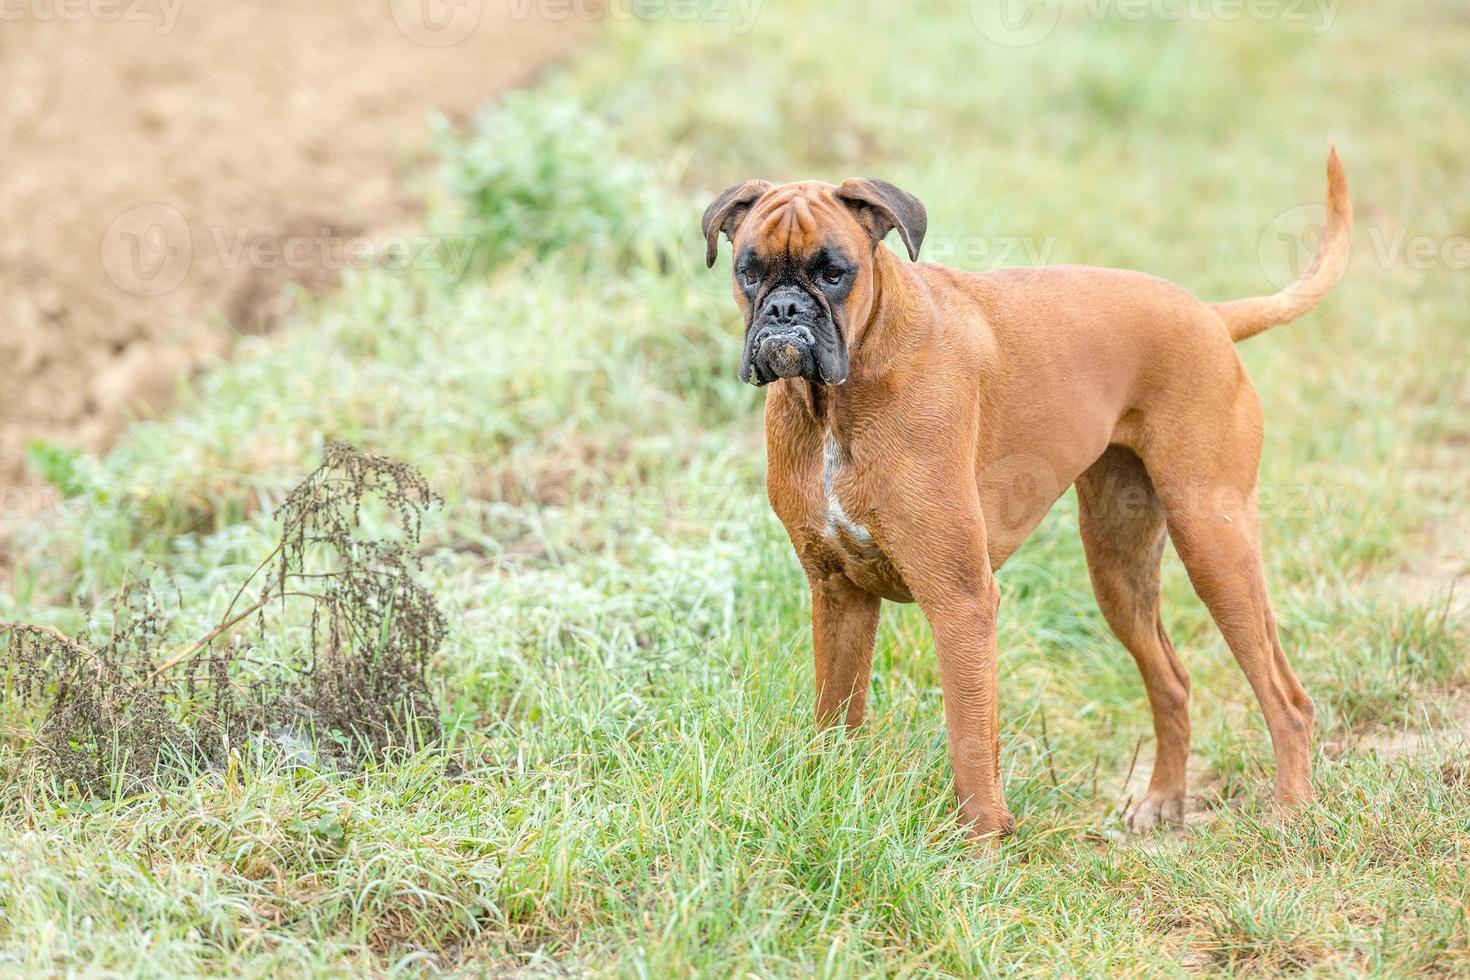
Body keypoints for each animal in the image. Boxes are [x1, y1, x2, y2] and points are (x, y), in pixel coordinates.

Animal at [699, 149, 1352, 840]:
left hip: (1215, 545)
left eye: (834, 273)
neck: (837, 401)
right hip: (1119, 568)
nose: (785, 310)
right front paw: (830, 797)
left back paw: (1292, 812)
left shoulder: (960, 601)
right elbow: (835, 715)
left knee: (1287, 699)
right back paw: (1164, 799)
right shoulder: (838, 594)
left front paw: (985, 846)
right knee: (1172, 679)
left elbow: (969, 741)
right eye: (748, 271)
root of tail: (1209, 314)